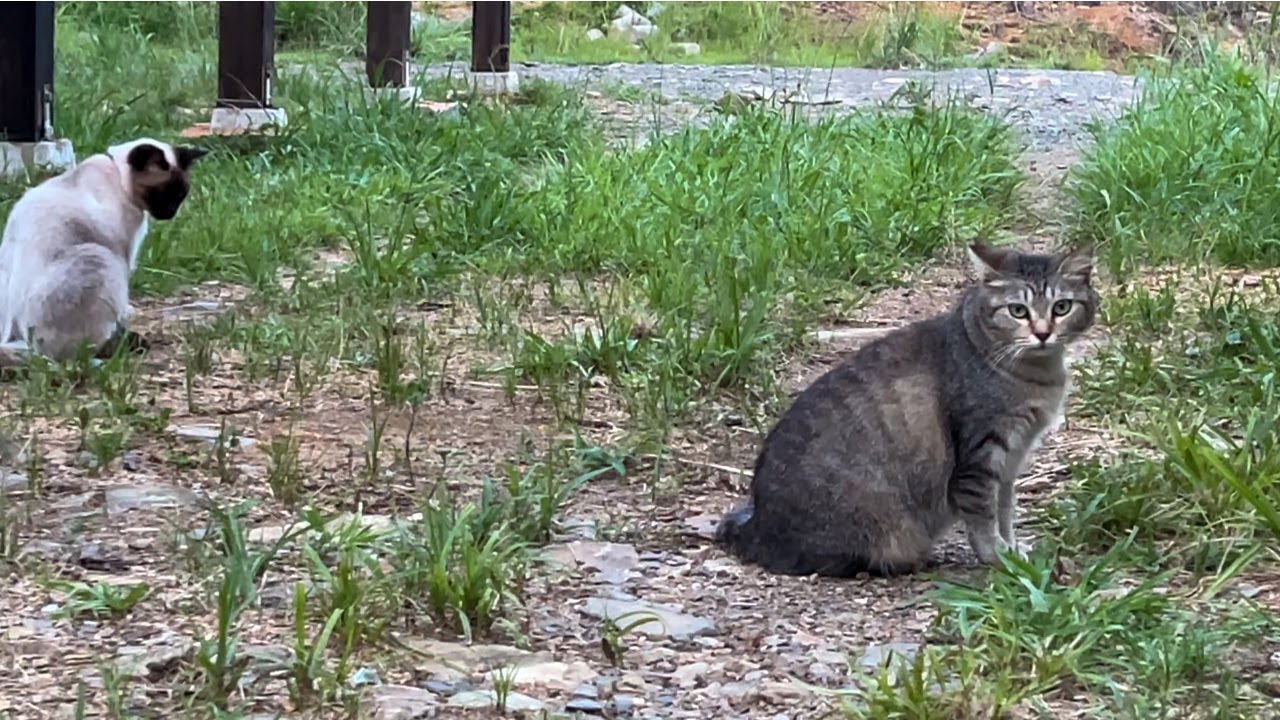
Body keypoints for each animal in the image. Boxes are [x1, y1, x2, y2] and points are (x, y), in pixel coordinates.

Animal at [0, 137, 204, 366]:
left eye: (181, 194)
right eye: (162, 193)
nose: (170, 213)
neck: (117, 174)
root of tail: (17, 341)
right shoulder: (123, 256)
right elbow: (122, 311)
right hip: (99, 257)